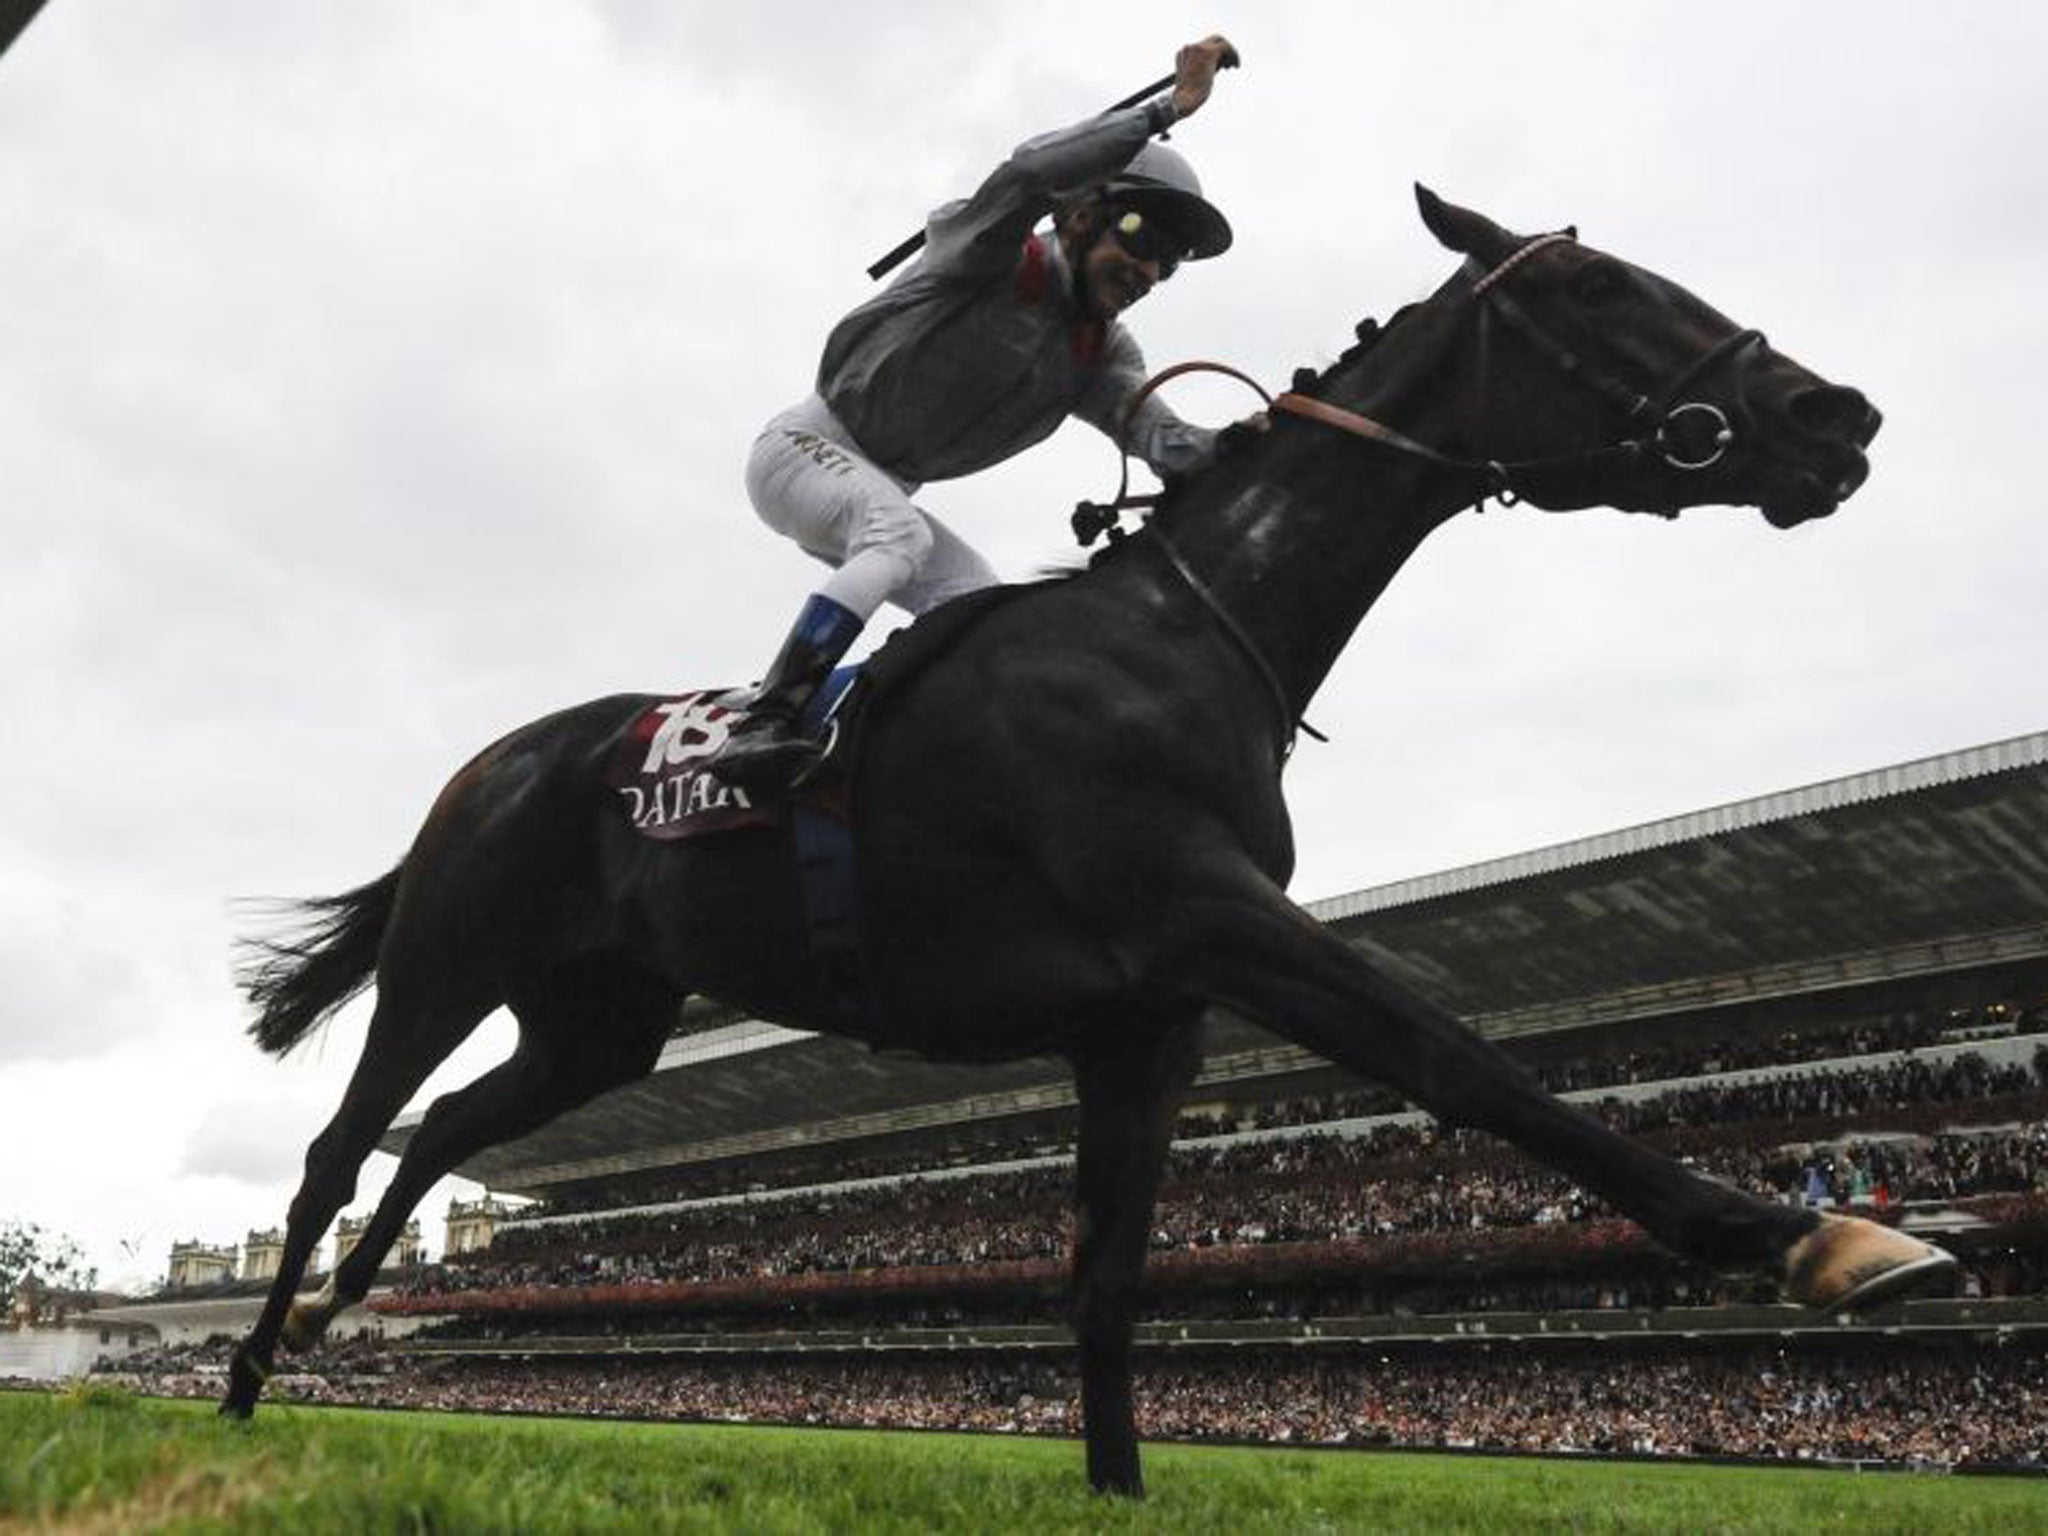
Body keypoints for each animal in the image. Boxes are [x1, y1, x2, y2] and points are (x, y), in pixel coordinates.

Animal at [216, 186, 1941, 1499]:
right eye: (1596, 286)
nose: (1832, 413)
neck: (1186, 641)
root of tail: (496, 758)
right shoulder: (1208, 917)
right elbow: (1465, 1062)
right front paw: (1817, 1234)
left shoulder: (1148, 1018)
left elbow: (1105, 1280)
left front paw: (1115, 1485)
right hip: (448, 959)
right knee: (334, 1149)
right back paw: (245, 1370)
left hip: (600, 1025)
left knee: (447, 1125)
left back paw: (342, 1312)